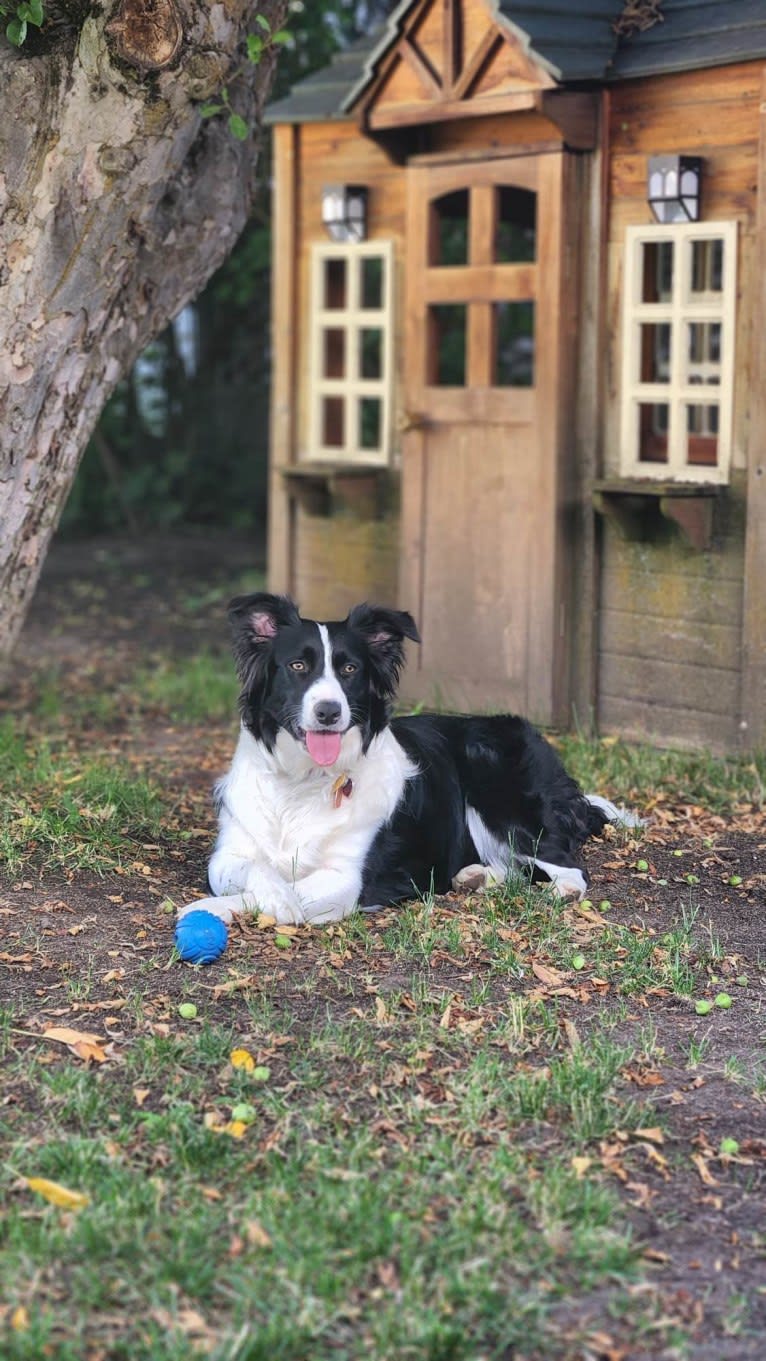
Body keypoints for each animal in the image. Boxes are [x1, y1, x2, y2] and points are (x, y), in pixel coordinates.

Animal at [176, 590, 631, 930]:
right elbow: (258, 873)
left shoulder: (347, 879)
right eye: (298, 665)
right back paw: (475, 876)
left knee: (568, 867)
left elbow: (282, 892)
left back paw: (557, 888)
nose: (329, 712)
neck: (303, 782)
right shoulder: (228, 855)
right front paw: (267, 896)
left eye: (350, 669)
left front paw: (212, 909)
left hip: (499, 789)